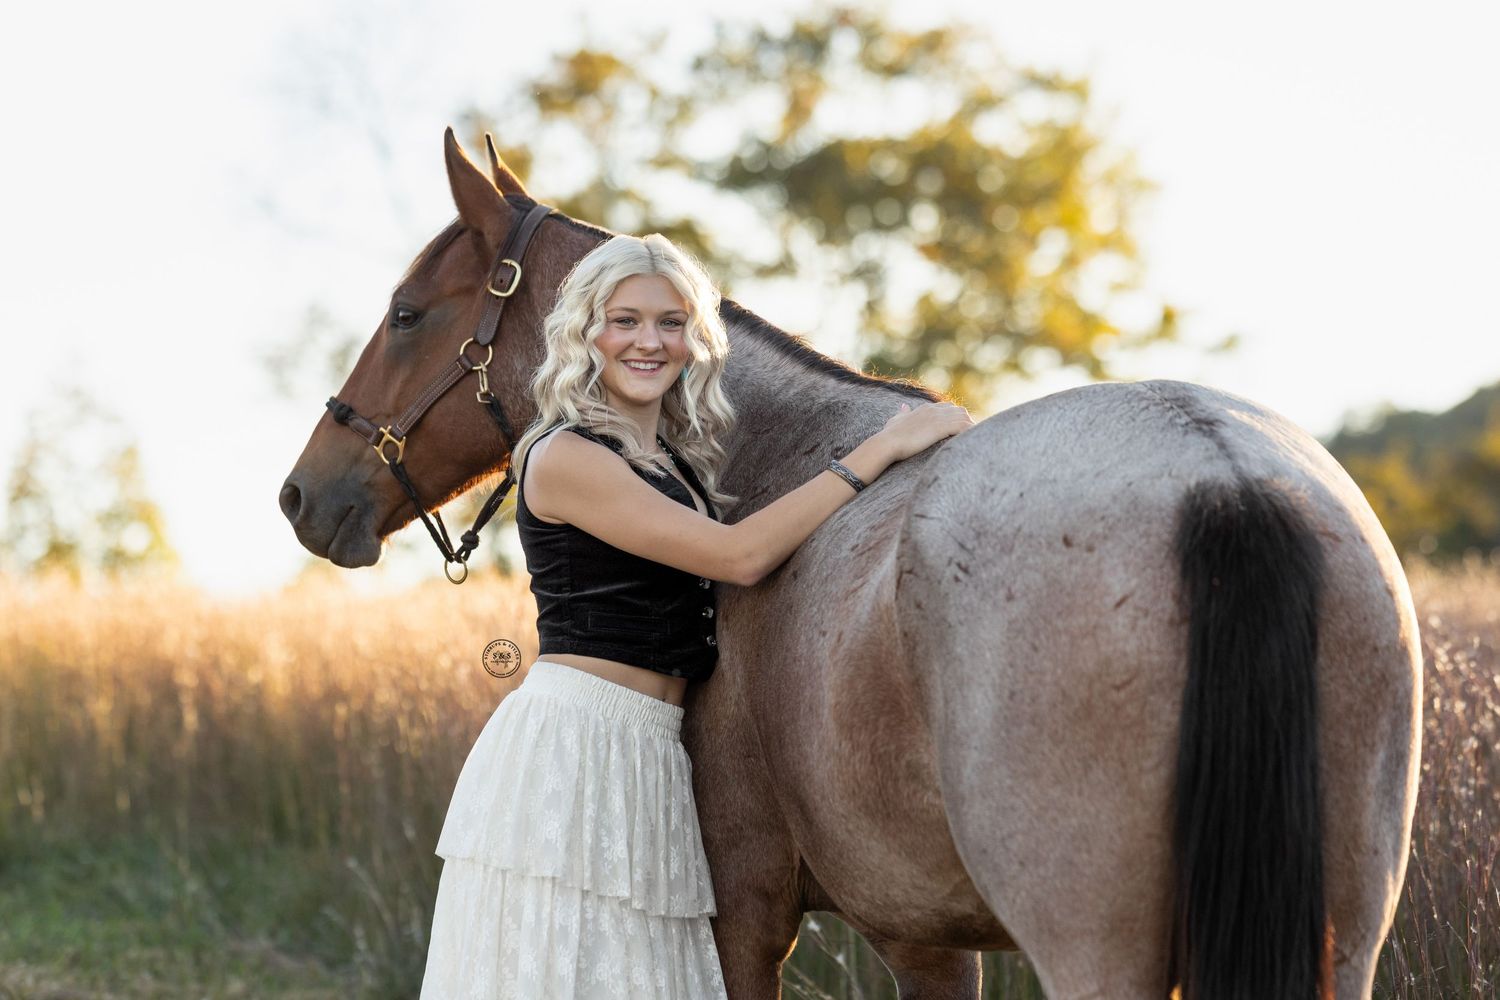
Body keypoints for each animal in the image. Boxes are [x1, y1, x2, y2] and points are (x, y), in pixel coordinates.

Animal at [280, 128, 1421, 999]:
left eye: (406, 313)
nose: (301, 495)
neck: (771, 457)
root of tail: (1218, 473)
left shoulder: (743, 913)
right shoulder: (927, 936)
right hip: (1344, 940)